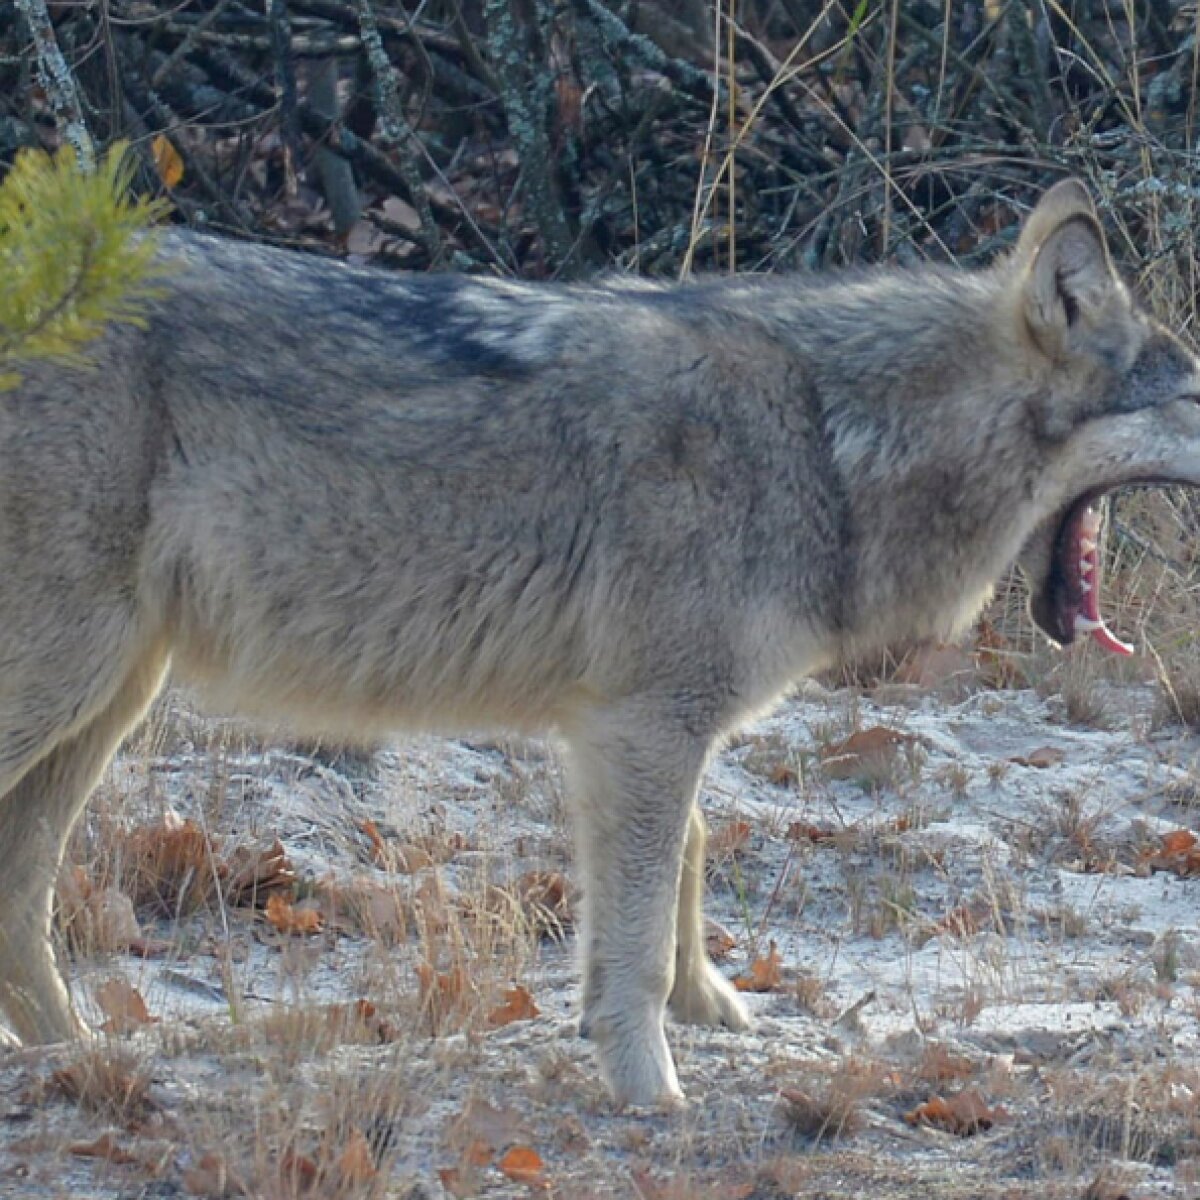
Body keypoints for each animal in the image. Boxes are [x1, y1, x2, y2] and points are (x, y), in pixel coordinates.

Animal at [2, 177, 1200, 1104]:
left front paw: (709, 1007)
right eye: (1196, 399)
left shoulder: (638, 725)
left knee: (22, 887)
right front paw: (649, 1090)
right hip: (74, 685)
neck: (826, 435)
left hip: (108, 701)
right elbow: (637, 922)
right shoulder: (645, 722)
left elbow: (688, 864)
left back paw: (82, 1059)